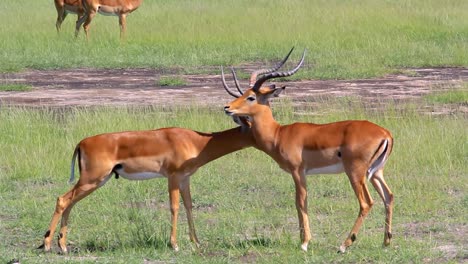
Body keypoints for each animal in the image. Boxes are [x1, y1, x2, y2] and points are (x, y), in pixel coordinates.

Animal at [223, 48, 394, 253]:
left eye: (251, 97)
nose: (227, 108)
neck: (279, 133)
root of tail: (385, 133)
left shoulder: (298, 171)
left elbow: (301, 202)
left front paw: (304, 243)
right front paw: (302, 240)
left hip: (356, 173)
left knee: (366, 203)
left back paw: (344, 245)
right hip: (376, 172)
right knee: (389, 196)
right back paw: (385, 242)